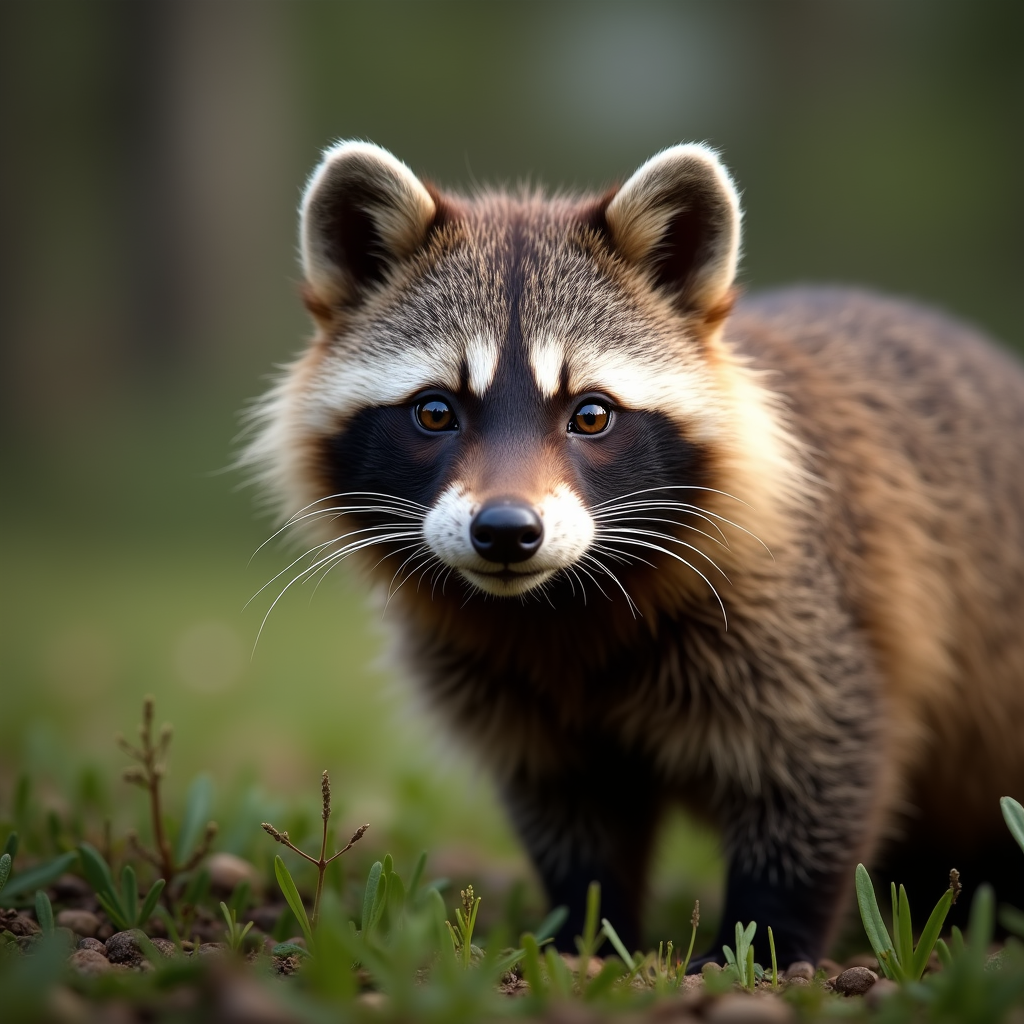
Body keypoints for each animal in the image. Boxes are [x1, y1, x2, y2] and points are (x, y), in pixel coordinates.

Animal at [248, 141, 1024, 967]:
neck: (555, 602)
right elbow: (570, 810)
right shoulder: (505, 689)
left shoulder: (801, 616)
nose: (506, 531)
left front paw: (766, 941)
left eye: (592, 415)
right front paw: (588, 927)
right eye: (434, 411)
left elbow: (820, 766)